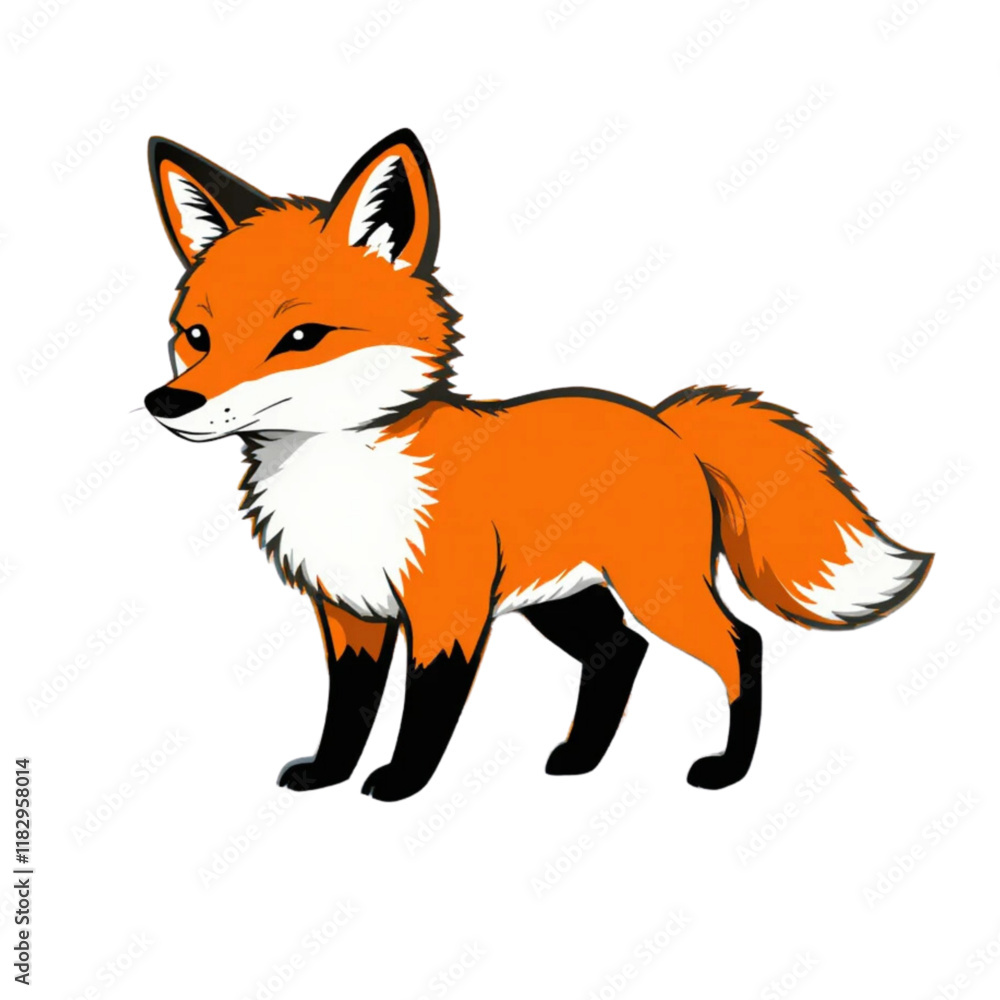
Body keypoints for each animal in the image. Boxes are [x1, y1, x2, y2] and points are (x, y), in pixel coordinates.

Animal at [144, 128, 932, 801]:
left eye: (302, 337)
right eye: (197, 336)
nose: (168, 402)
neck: (343, 479)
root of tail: (665, 422)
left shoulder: (448, 611)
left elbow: (424, 713)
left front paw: (400, 783)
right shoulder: (349, 613)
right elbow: (349, 711)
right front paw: (327, 774)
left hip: (656, 589)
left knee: (743, 645)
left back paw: (726, 770)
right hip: (563, 600)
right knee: (622, 649)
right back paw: (581, 758)